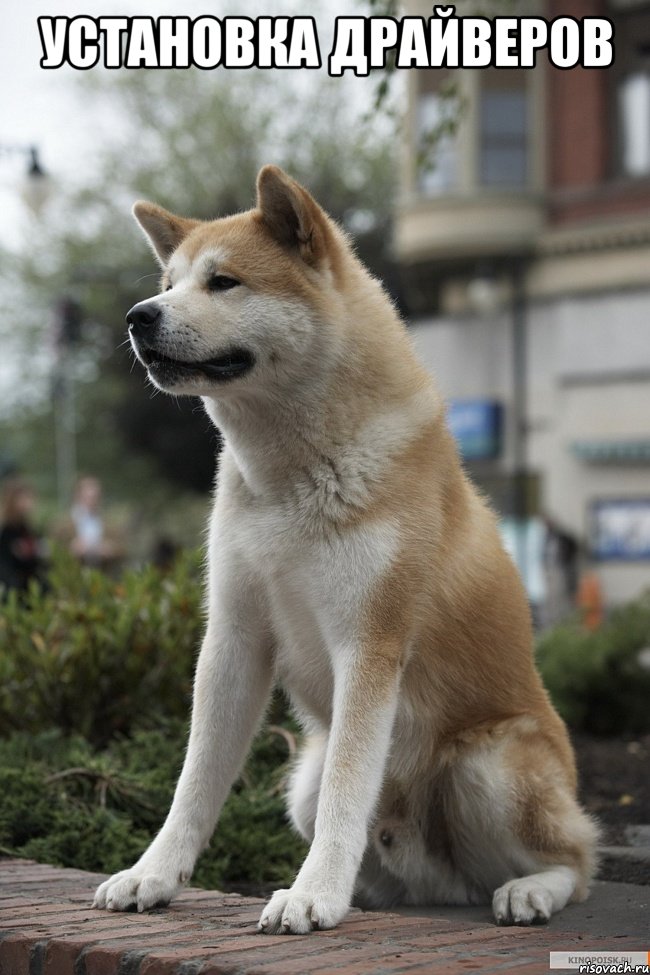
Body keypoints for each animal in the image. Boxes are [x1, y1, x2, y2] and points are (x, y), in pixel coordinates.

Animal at [92, 166, 596, 932]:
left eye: (224, 282)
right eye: (170, 282)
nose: (138, 315)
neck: (290, 478)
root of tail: (443, 884)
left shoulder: (369, 643)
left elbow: (346, 791)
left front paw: (313, 894)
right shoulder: (234, 638)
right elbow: (194, 784)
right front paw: (153, 874)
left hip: (489, 764)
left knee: (577, 861)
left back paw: (529, 889)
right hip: (300, 777)